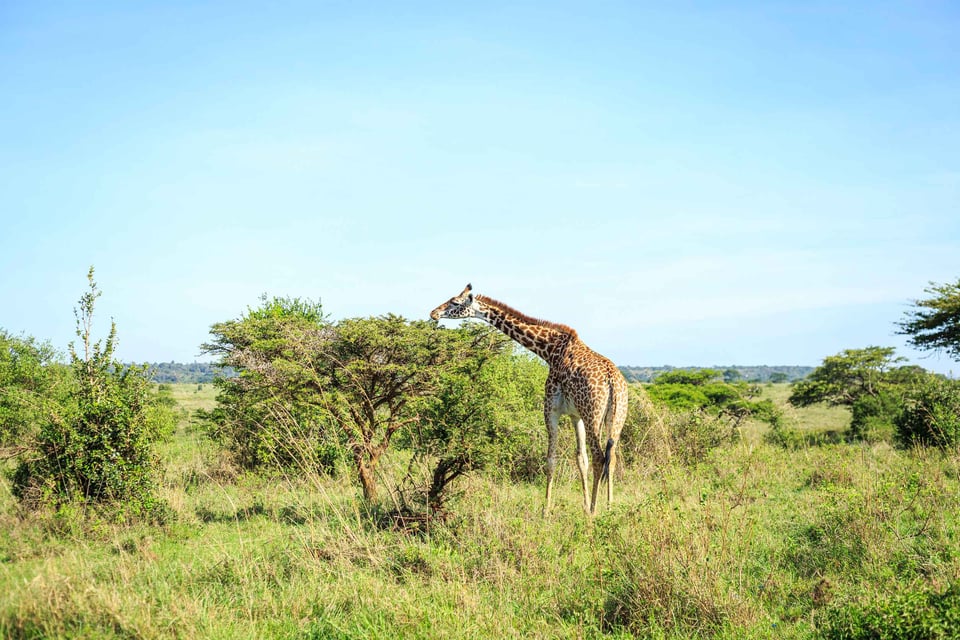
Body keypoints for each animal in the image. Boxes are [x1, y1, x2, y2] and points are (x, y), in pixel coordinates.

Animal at [430, 284, 629, 516]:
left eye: (454, 302)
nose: (433, 313)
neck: (549, 351)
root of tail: (613, 381)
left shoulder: (551, 408)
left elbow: (551, 459)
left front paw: (546, 510)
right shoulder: (574, 415)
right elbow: (581, 459)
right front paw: (584, 504)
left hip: (593, 416)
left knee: (599, 457)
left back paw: (595, 512)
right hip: (616, 418)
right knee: (611, 459)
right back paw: (609, 507)